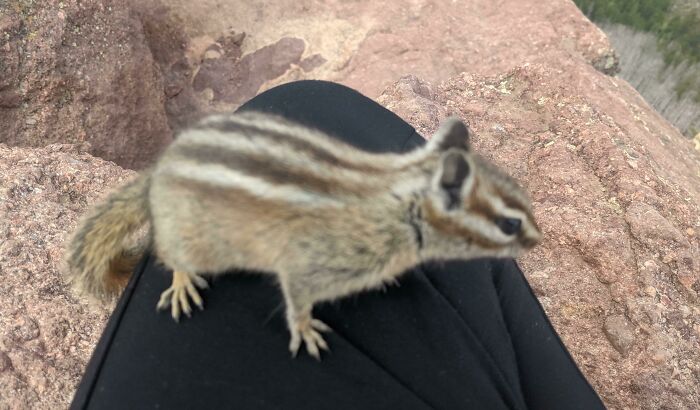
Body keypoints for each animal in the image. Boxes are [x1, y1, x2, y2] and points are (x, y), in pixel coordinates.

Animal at [64, 111, 542, 360]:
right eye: (509, 223)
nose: (538, 240)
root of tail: (156, 175)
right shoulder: (309, 264)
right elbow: (295, 297)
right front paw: (306, 329)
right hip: (193, 241)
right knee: (169, 253)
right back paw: (182, 282)